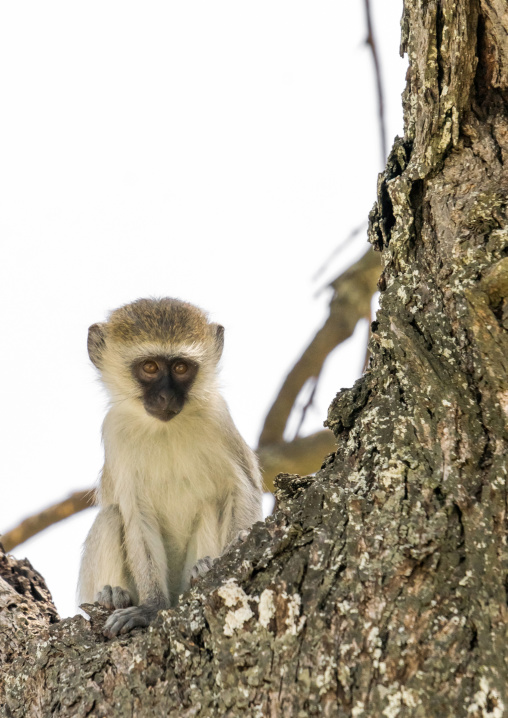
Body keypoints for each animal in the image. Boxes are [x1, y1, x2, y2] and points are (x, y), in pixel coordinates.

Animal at [77, 298, 263, 637]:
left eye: (180, 368)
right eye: (150, 367)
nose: (165, 397)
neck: (164, 428)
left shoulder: (219, 418)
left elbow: (243, 488)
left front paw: (234, 549)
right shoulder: (115, 433)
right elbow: (135, 515)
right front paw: (151, 608)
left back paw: (201, 570)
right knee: (111, 516)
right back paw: (111, 594)